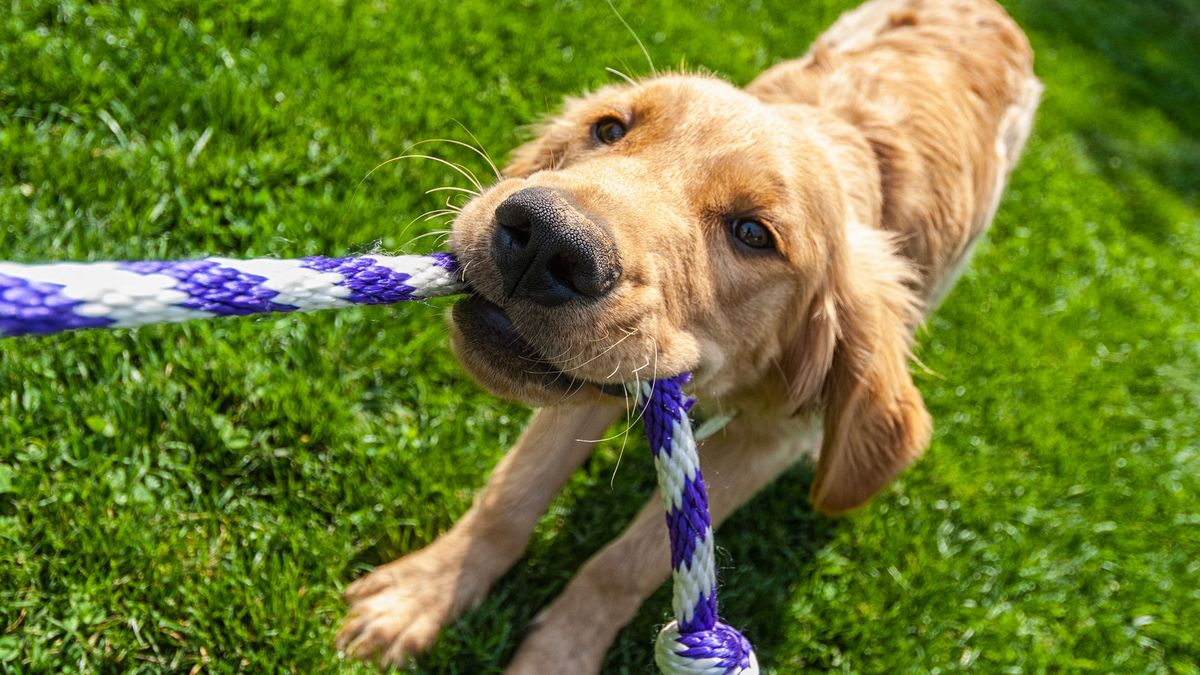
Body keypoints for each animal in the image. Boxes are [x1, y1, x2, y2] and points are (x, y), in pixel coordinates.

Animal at [338, 0, 1041, 662]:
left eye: (753, 233)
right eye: (609, 128)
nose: (545, 241)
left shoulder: (764, 437)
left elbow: (628, 562)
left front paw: (557, 656)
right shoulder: (599, 375)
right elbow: (512, 493)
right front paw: (423, 594)